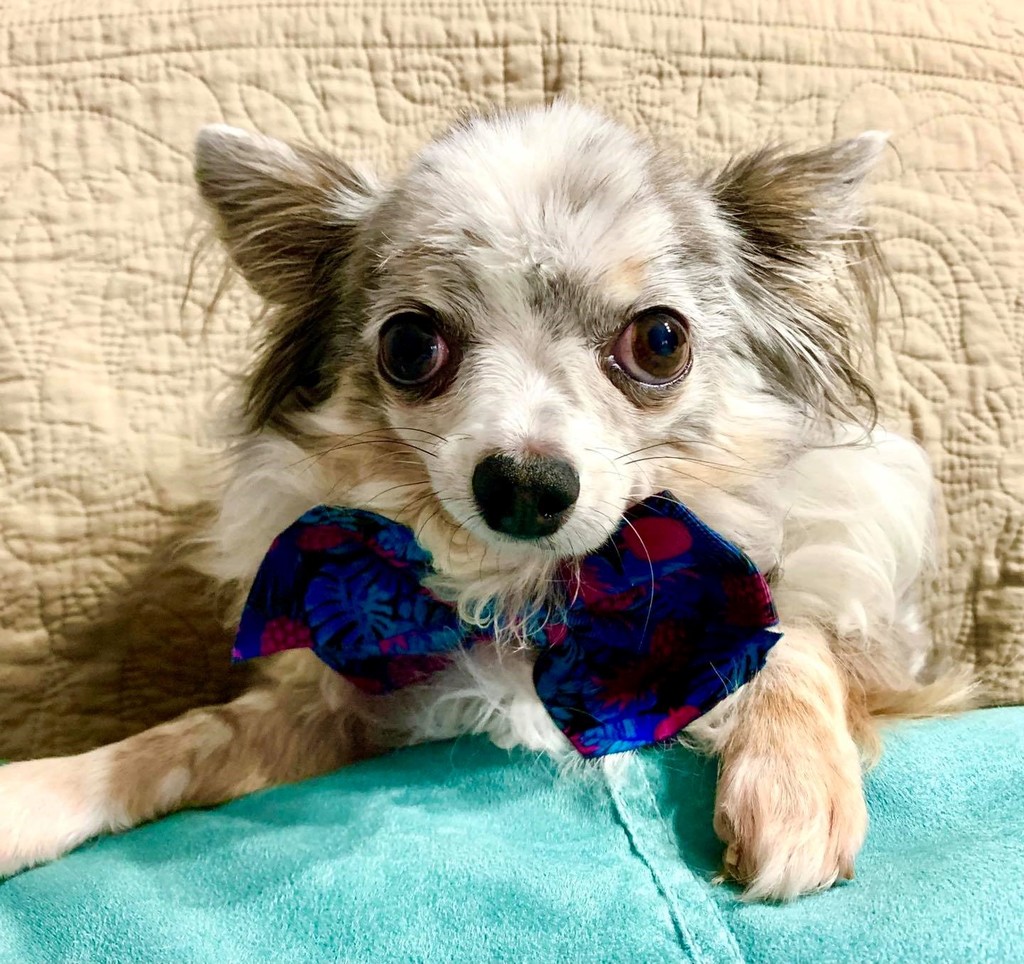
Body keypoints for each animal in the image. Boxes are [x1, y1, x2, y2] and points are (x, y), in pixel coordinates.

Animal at [0, 102, 969, 900]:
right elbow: (181, 740)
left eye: (660, 341)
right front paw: (36, 796)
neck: (534, 596)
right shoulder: (352, 709)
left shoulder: (892, 660)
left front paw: (795, 788)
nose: (526, 484)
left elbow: (792, 632)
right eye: (409, 345)